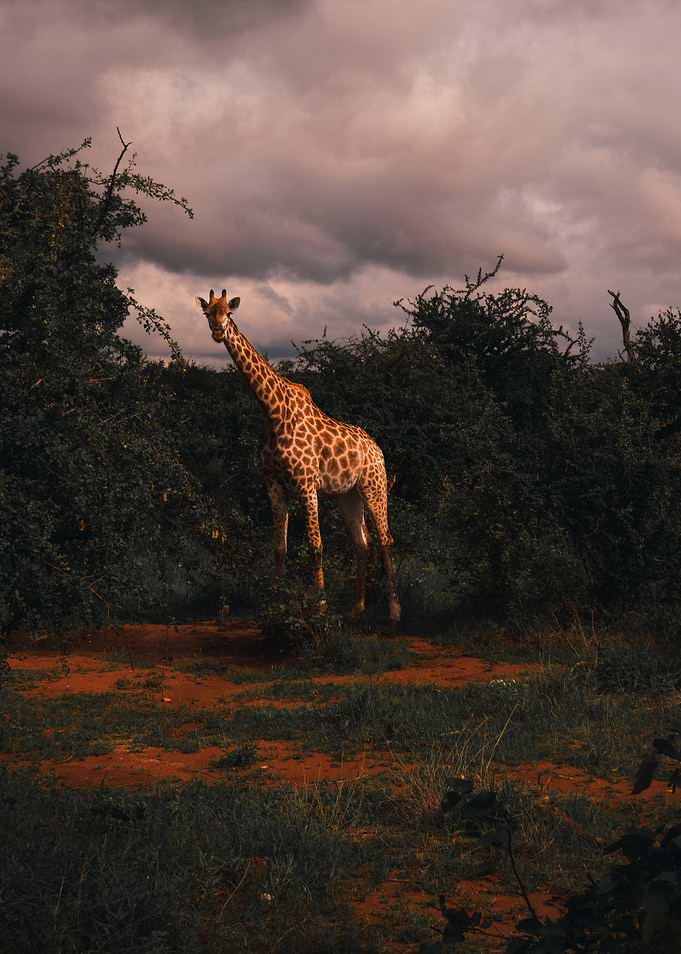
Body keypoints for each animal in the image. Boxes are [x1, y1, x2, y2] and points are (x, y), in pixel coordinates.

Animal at [195, 289, 401, 623]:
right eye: (207, 313)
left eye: (229, 312)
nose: (217, 331)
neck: (273, 413)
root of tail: (378, 449)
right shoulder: (275, 487)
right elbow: (279, 548)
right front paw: (276, 602)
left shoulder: (306, 485)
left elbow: (316, 545)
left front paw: (320, 605)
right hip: (349, 495)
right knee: (362, 543)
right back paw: (357, 607)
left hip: (374, 487)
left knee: (385, 540)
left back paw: (394, 611)